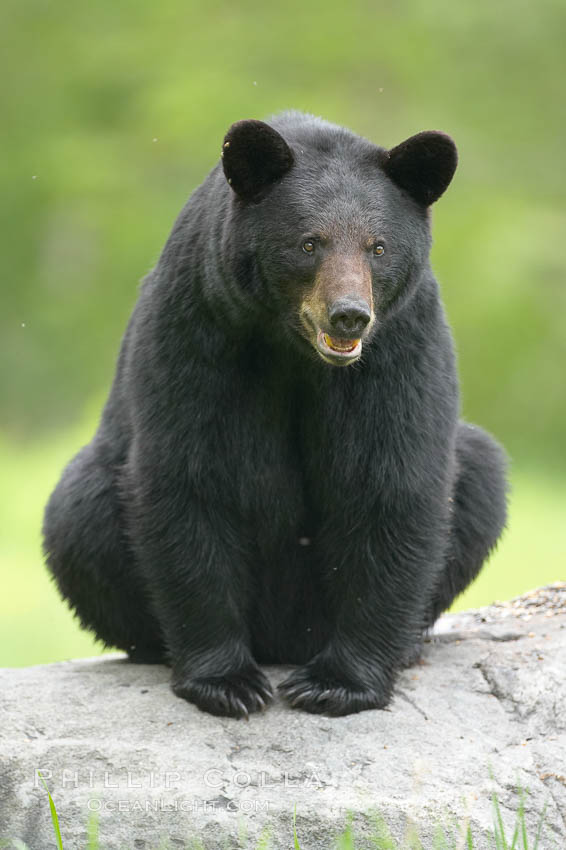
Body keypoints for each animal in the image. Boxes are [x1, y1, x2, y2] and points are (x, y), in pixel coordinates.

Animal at [42, 111, 508, 716]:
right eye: (309, 243)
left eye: (378, 247)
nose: (349, 315)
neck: (293, 349)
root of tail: (284, 639)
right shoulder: (198, 327)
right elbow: (189, 478)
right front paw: (226, 682)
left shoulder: (400, 346)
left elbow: (391, 478)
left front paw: (339, 682)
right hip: (95, 498)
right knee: (79, 509)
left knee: (479, 470)